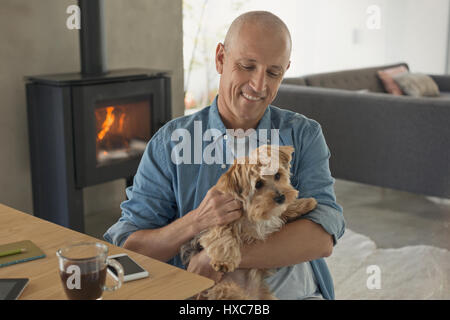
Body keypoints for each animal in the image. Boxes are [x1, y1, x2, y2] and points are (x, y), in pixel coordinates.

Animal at [180, 145, 316, 300]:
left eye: (277, 175)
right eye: (258, 184)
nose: (281, 197)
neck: (252, 211)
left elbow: (282, 211)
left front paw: (305, 203)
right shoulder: (214, 218)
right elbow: (222, 236)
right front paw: (224, 261)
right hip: (224, 290)